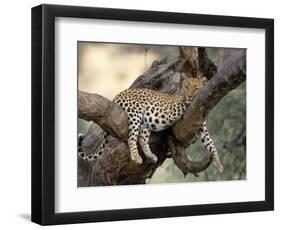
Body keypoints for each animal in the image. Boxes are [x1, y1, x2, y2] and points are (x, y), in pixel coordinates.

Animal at [79, 77, 223, 172]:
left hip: (145, 123)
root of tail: (118, 95)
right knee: (132, 138)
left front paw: (218, 164)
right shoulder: (173, 108)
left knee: (142, 139)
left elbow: (211, 144)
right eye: (187, 87)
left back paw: (151, 156)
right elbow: (184, 103)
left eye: (196, 88)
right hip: (135, 114)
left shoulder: (202, 128)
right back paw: (136, 157)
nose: (190, 95)